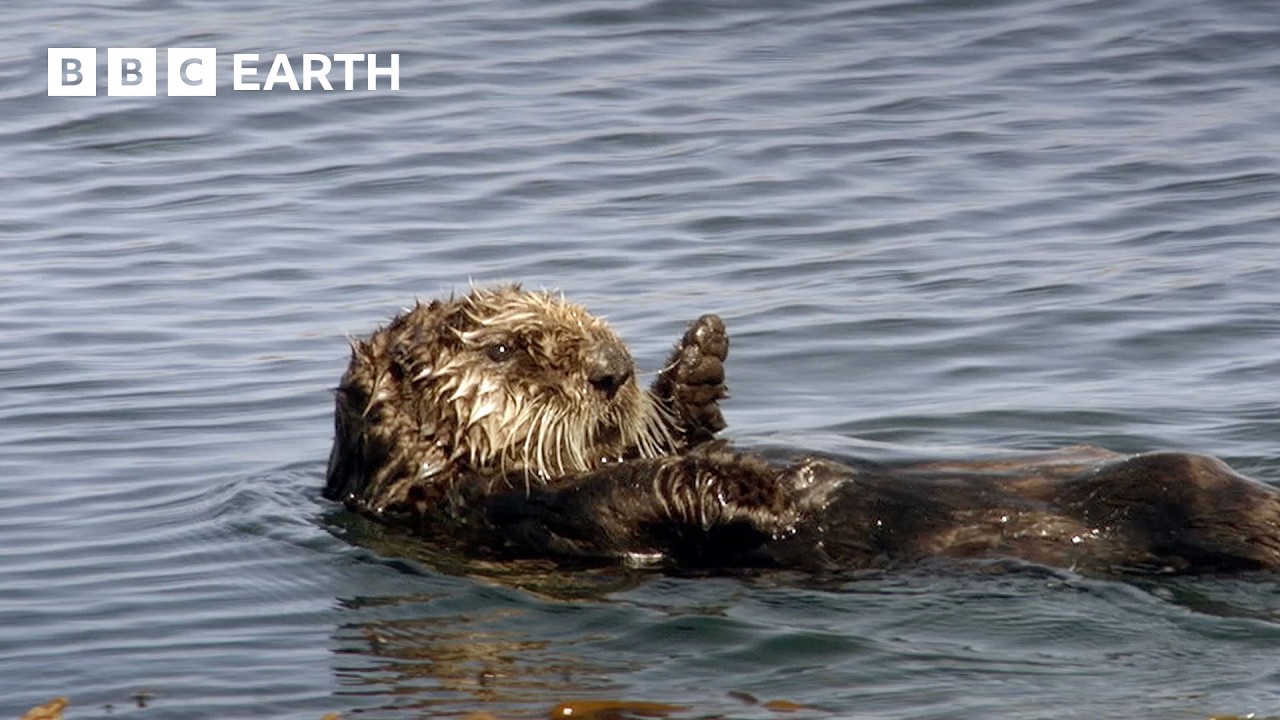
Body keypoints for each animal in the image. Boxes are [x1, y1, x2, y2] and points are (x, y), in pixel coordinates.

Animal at [326, 287, 1280, 574]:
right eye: (508, 348)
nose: (612, 367)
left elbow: (678, 442)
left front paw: (699, 360)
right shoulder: (506, 518)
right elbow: (643, 493)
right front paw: (765, 490)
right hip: (1183, 494)